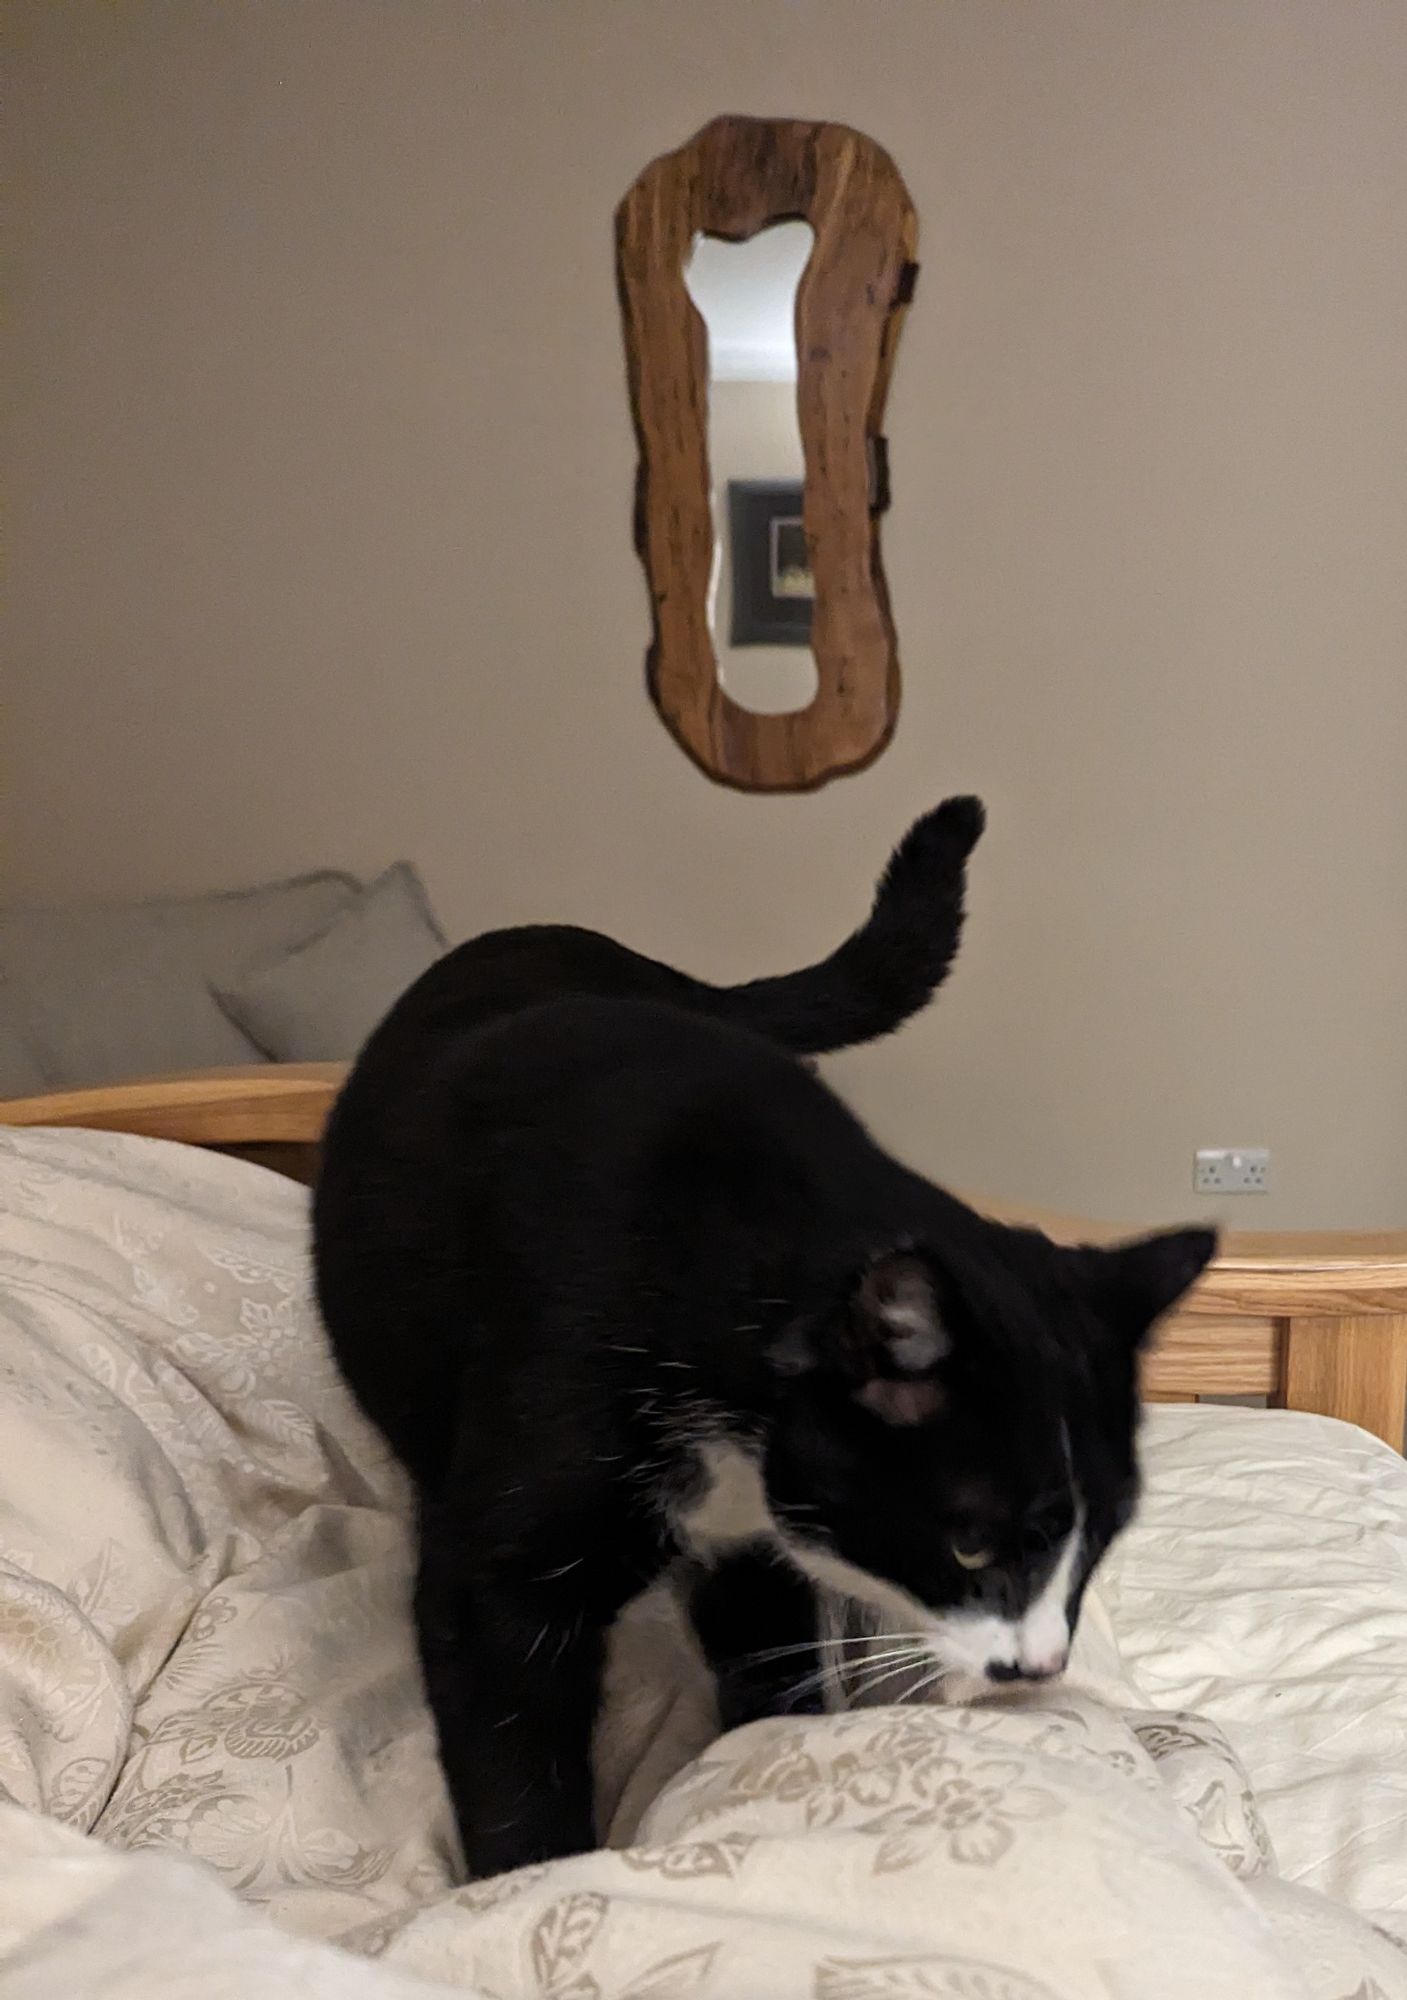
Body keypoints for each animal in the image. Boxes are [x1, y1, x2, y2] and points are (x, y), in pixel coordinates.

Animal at [313, 796, 1215, 1872]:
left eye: (1099, 1544)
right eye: (970, 1547)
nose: (1035, 1667)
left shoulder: (759, 1544)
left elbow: (763, 1657)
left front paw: (765, 1768)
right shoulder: (506, 1556)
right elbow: (508, 1742)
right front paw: (522, 1882)